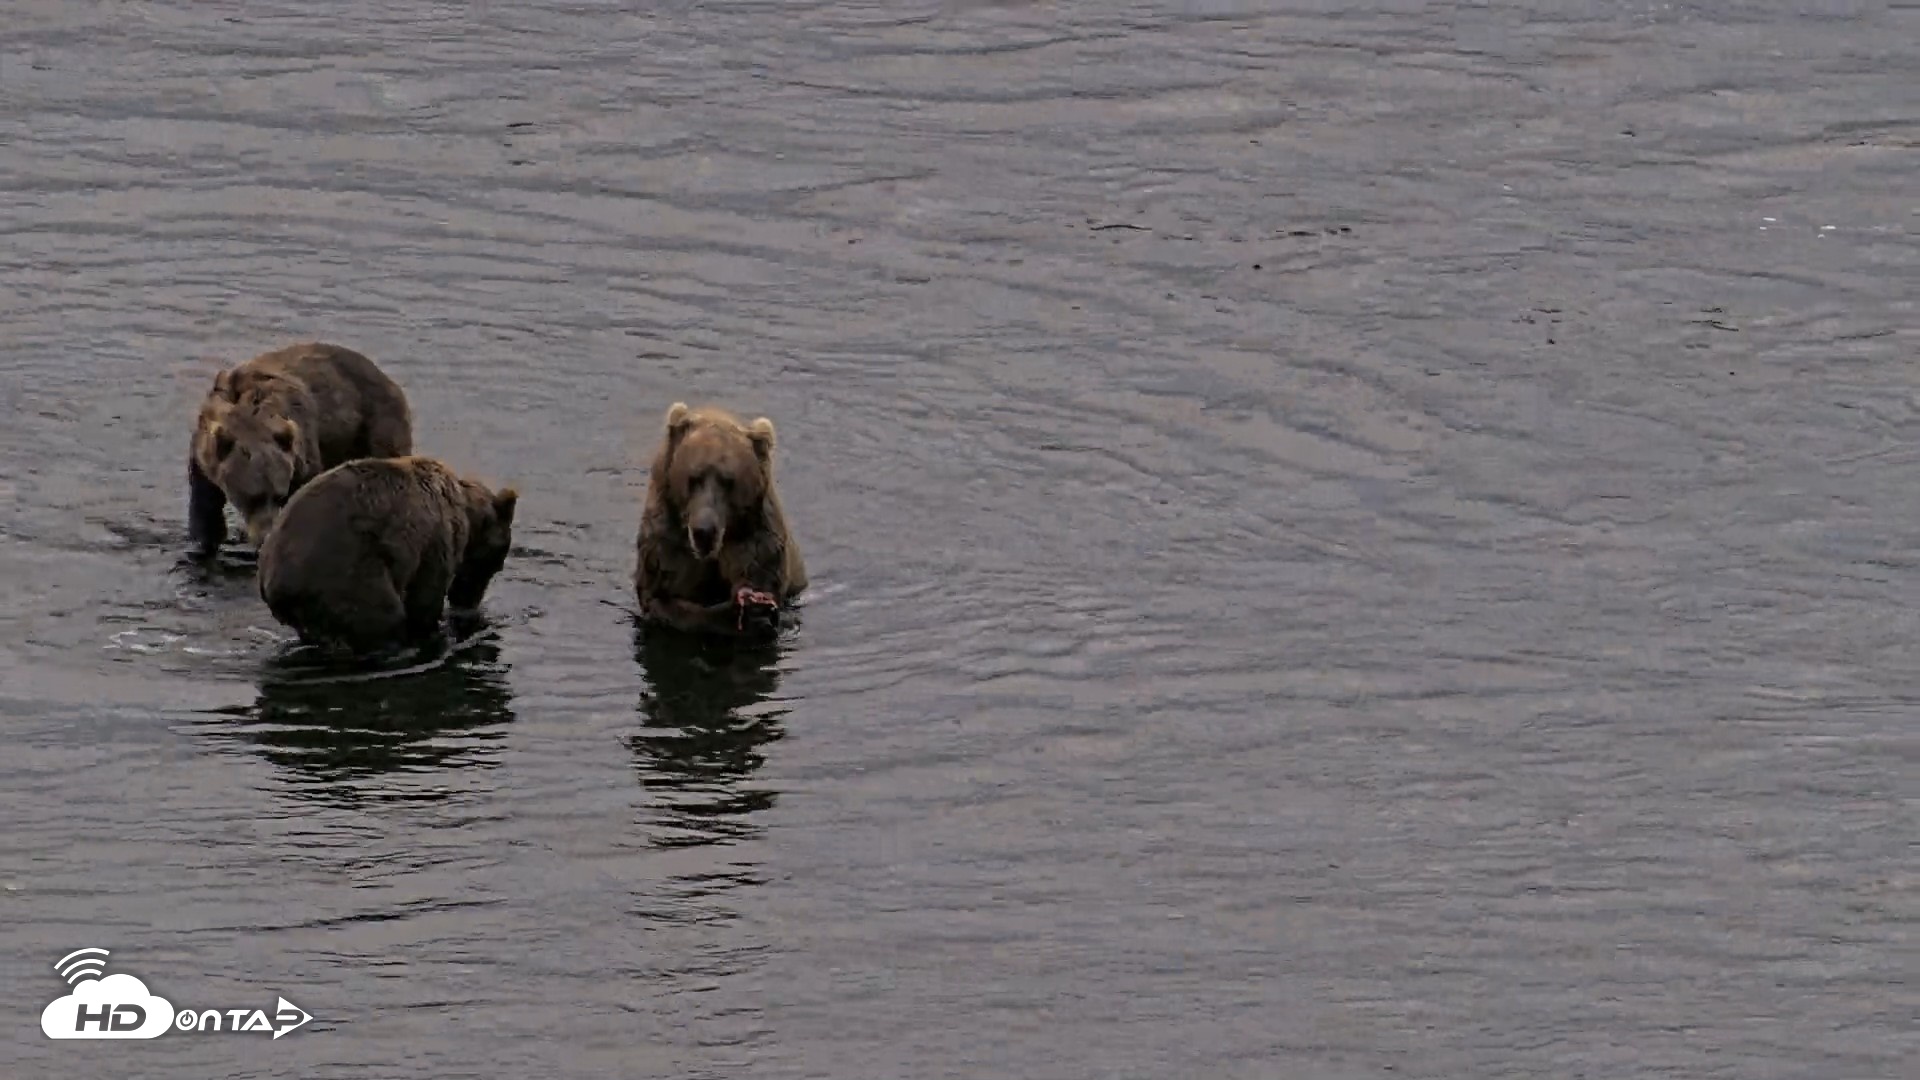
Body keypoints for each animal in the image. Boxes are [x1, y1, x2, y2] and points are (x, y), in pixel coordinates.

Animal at [189, 341, 413, 556]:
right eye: (252, 497)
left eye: (279, 495)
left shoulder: (303, 449)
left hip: (375, 425)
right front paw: (207, 540)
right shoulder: (204, 451)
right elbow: (206, 504)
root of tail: (386, 378)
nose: (265, 536)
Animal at [256, 455, 518, 654]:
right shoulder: (434, 540)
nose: (469, 603)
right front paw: (433, 631)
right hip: (348, 576)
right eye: (494, 564)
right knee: (383, 617)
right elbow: (425, 599)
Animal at [633, 401, 806, 639]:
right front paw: (745, 615)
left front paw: (757, 611)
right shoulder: (666, 541)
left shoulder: (755, 538)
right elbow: (664, 599)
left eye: (728, 481)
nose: (704, 532)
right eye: (694, 478)